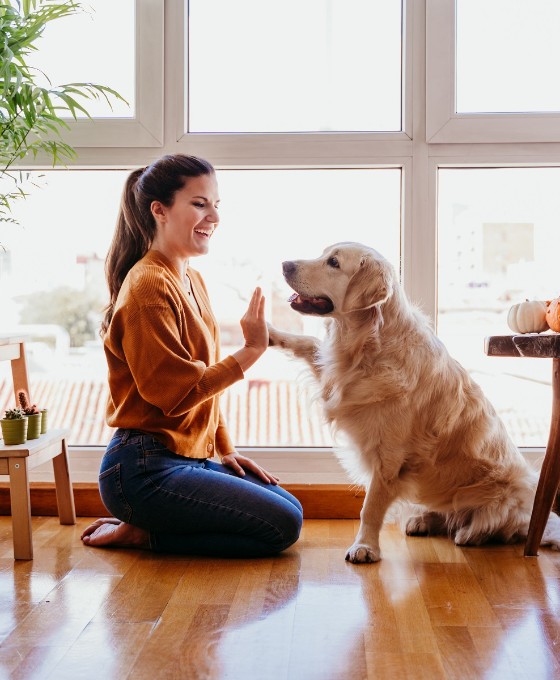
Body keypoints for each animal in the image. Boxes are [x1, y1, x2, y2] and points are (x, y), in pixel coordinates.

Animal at [266, 242, 560, 560]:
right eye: (323, 254)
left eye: (333, 262)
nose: (284, 265)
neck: (368, 345)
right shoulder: (336, 377)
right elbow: (308, 343)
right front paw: (268, 331)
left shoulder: (389, 457)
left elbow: (370, 508)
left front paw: (364, 547)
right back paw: (423, 520)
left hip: (508, 493)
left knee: (501, 525)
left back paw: (471, 533)